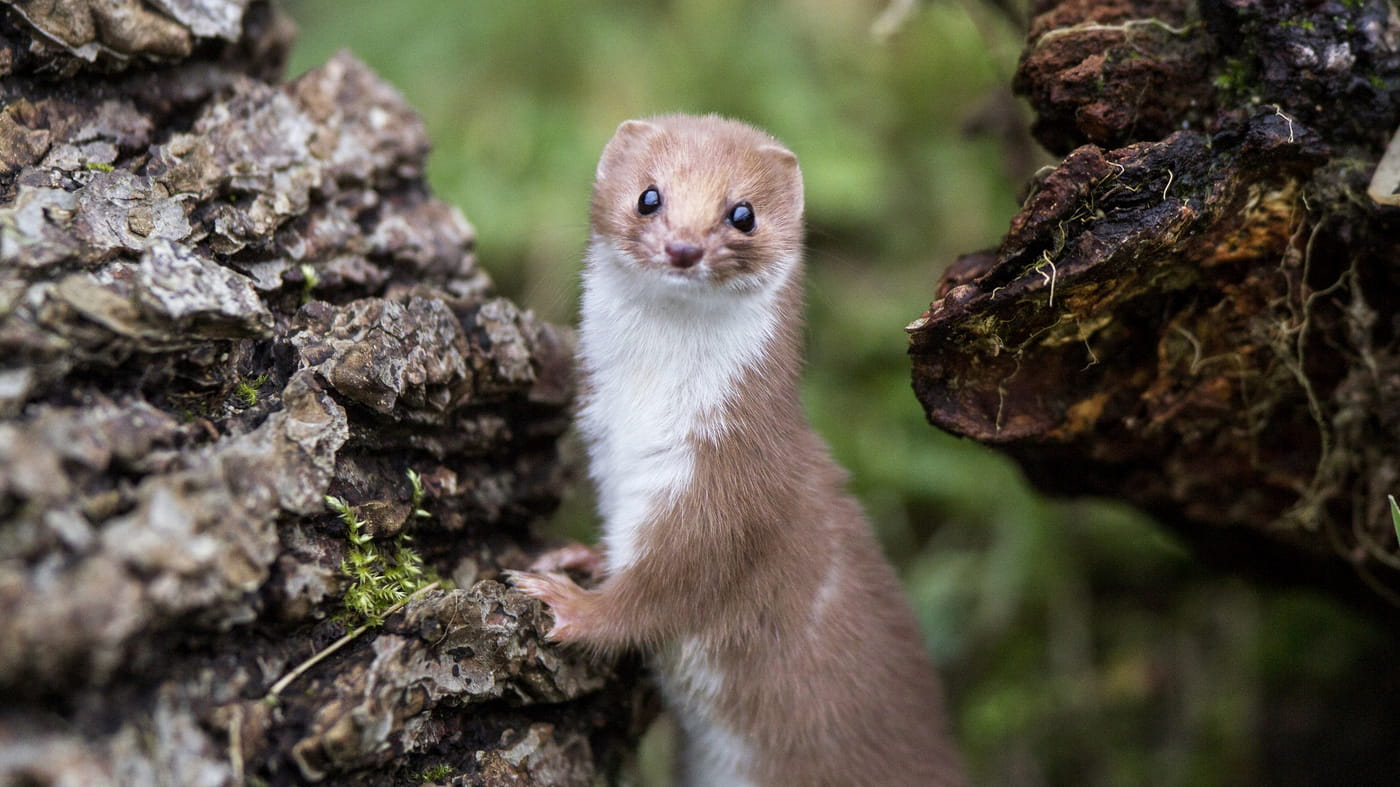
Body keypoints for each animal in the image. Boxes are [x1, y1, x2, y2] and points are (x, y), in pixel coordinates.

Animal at [512, 113, 963, 778]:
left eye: (742, 213)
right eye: (649, 196)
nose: (683, 246)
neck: (640, 418)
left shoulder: (730, 480)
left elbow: (669, 585)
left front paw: (568, 603)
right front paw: (578, 557)